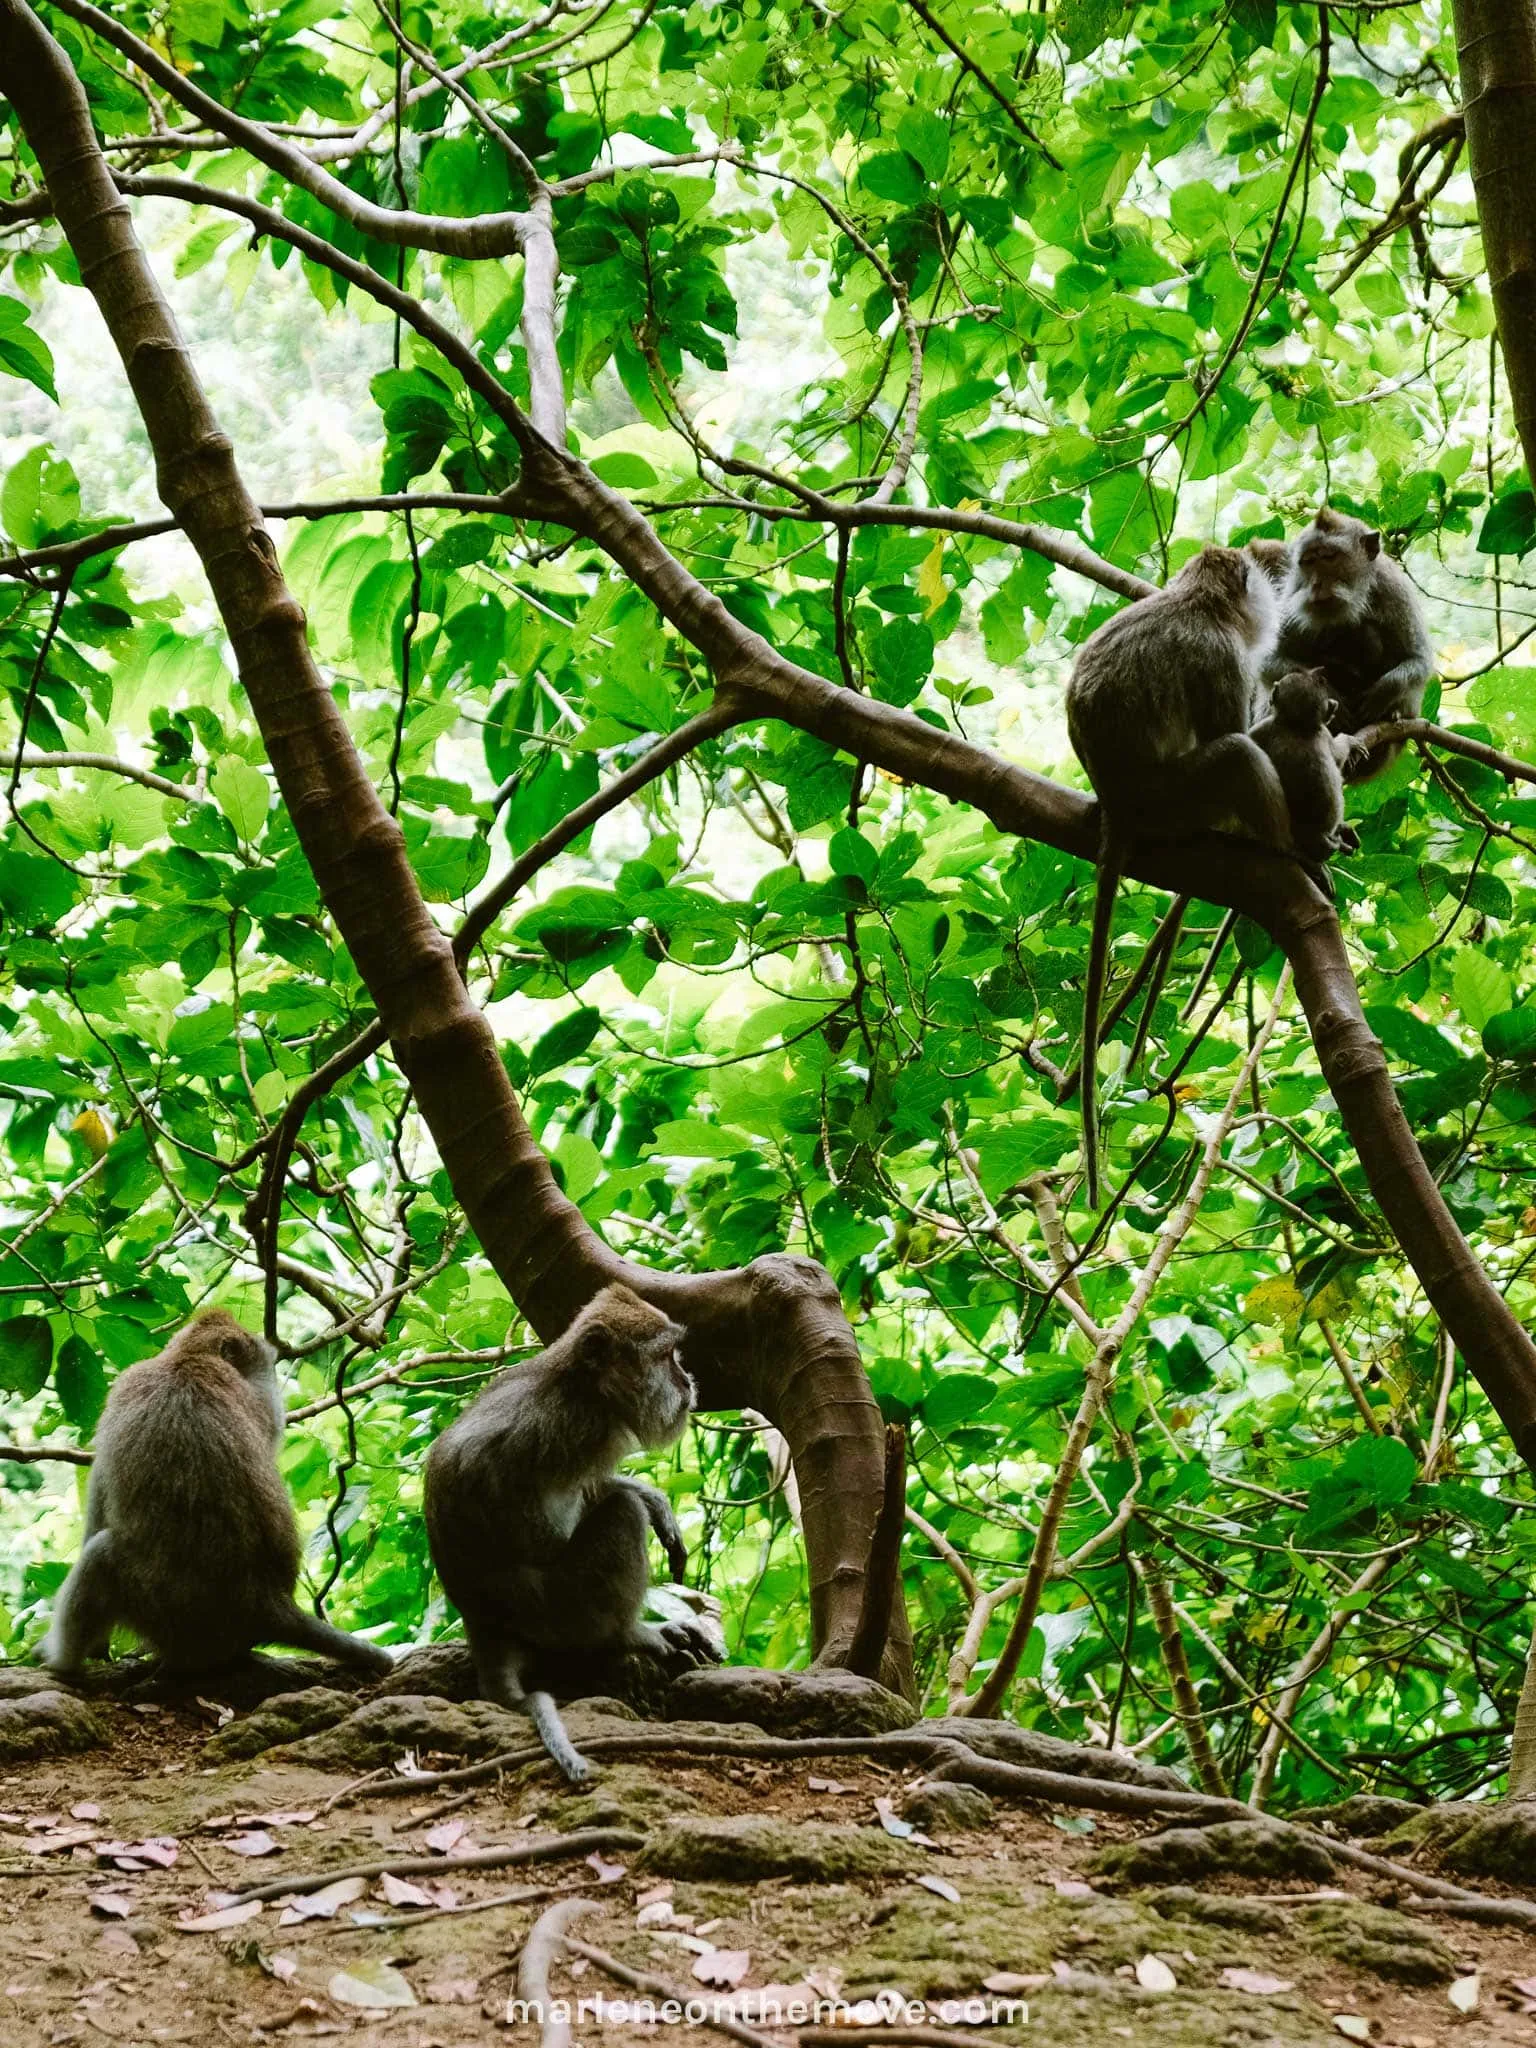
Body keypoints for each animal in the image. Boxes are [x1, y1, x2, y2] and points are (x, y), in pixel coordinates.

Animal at [42, 1311, 393, 1678]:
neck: (190, 1357)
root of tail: (268, 1606)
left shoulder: (124, 1389)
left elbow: (98, 1507)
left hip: (163, 1609)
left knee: (100, 1555)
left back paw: (62, 1662)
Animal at [423, 1282, 720, 1783]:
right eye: (666, 1357)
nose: (687, 1380)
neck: (582, 1388)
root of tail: (487, 1628)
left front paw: (651, 1497)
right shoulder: (569, 1433)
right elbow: (543, 1537)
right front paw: (638, 1498)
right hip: (561, 1615)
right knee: (619, 1518)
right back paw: (625, 1635)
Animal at [1066, 544, 1288, 1205]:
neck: (1197, 603)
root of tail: (1120, 805)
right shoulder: (1220, 658)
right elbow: (1233, 732)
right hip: (1178, 800)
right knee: (1235, 755)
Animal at [1252, 667, 1361, 864]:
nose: (1335, 703)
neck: (1295, 723)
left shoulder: (1265, 726)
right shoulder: (1323, 732)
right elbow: (1337, 756)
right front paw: (1349, 741)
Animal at [1269, 508, 1434, 782]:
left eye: (1329, 557)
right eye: (1308, 561)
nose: (1316, 584)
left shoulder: (1394, 587)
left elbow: (1418, 659)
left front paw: (1382, 694)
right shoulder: (1292, 594)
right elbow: (1268, 662)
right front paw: (1328, 693)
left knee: (1366, 630)